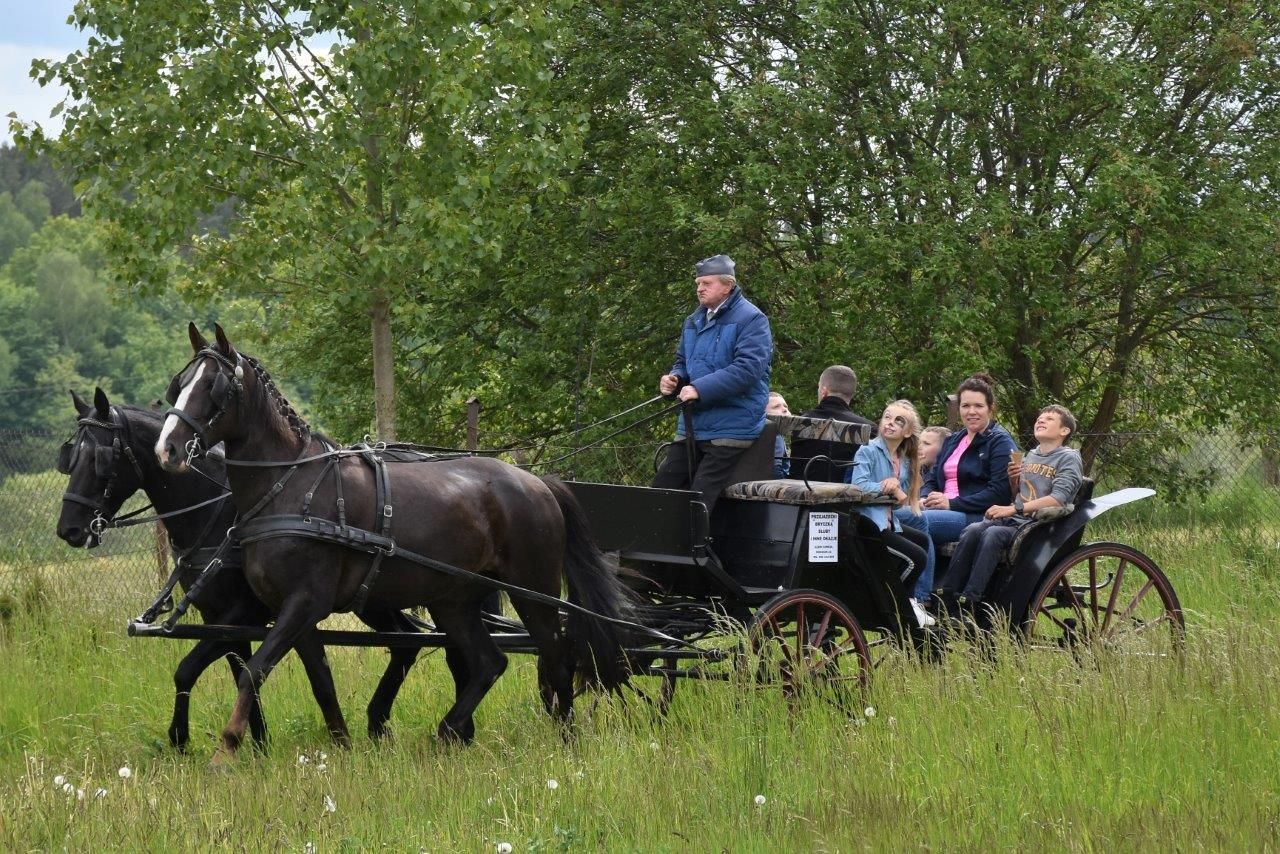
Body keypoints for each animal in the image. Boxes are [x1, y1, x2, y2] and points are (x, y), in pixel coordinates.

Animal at [154, 323, 634, 763]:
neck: (290, 486)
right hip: (453, 600)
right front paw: (342, 745)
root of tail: (537, 483)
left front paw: (226, 748)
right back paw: (448, 730)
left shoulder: (304, 601)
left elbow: (252, 672)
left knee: (556, 657)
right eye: (178, 386)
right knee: (488, 663)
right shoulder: (293, 611)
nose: (168, 450)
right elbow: (319, 678)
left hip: (533, 592)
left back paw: (566, 740)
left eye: (214, 388)